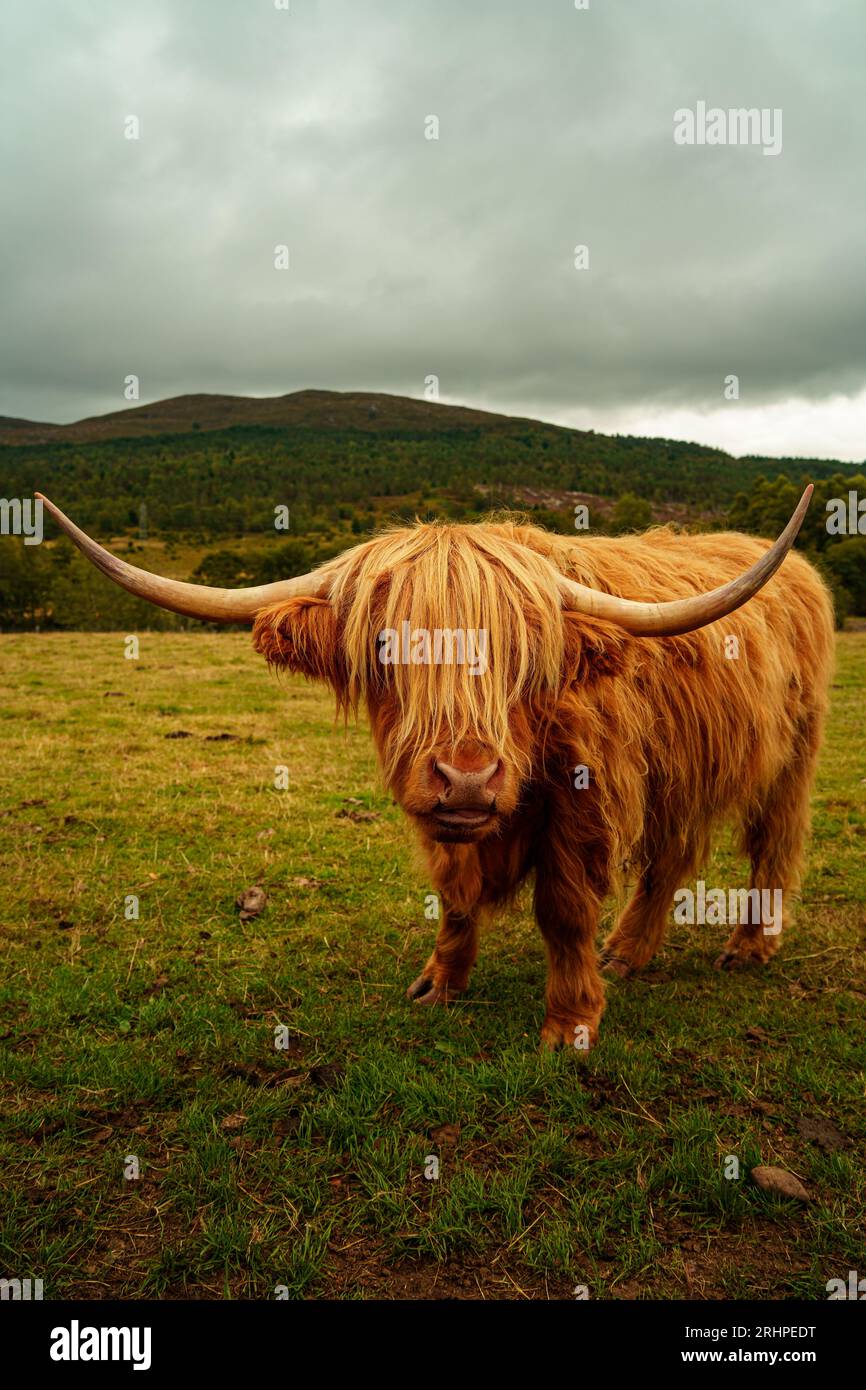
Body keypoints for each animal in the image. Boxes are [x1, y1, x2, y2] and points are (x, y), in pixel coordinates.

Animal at [36, 487, 834, 1051]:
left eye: (524, 652)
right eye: (385, 645)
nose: (470, 778)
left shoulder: (585, 799)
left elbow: (564, 909)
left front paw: (569, 1025)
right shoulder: (443, 817)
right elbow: (453, 898)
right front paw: (440, 984)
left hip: (793, 753)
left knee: (772, 843)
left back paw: (749, 946)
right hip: (683, 769)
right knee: (671, 856)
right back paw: (629, 952)